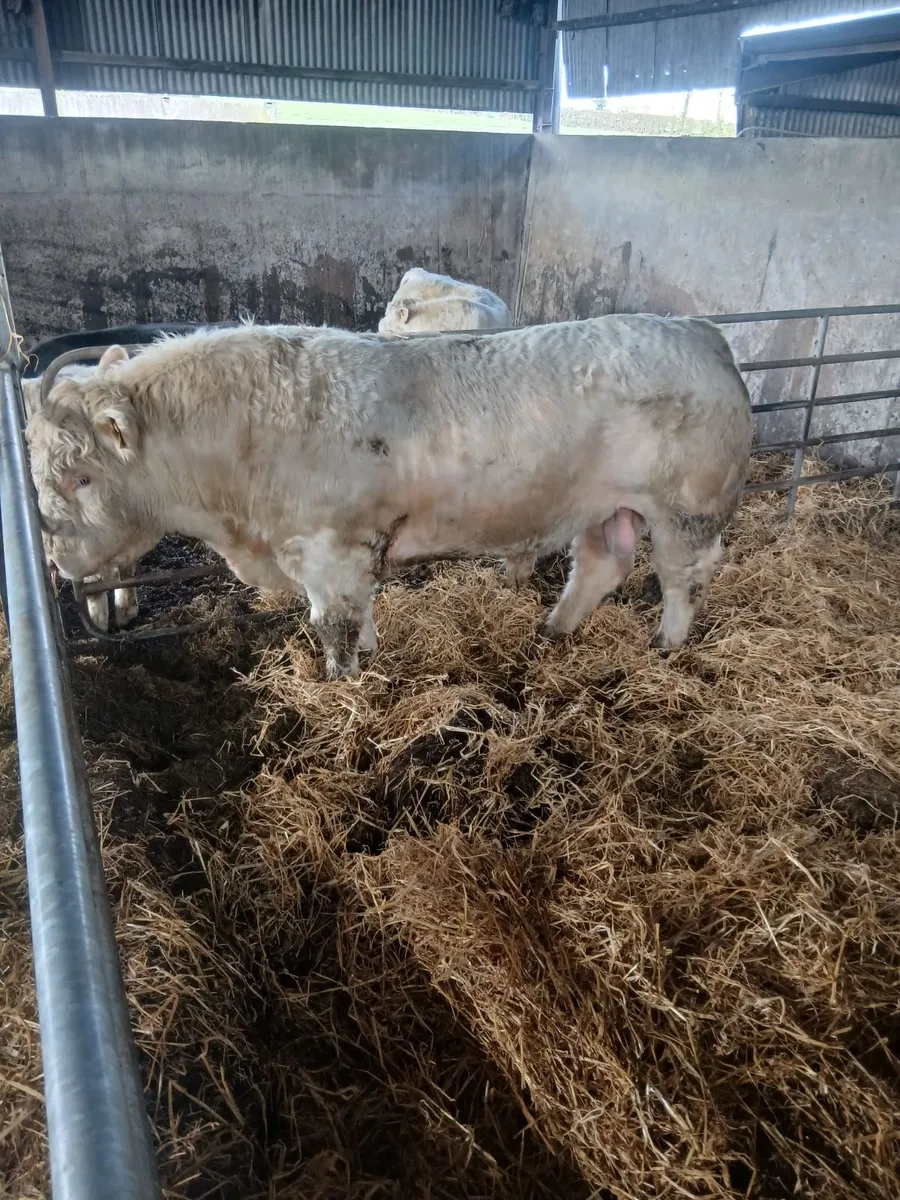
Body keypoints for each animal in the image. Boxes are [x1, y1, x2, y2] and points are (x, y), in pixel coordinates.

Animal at [26, 316, 752, 680]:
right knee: (602, 563)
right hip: (603, 505)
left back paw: (667, 644)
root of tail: (702, 332)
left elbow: (336, 627)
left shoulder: (331, 550)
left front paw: (345, 688)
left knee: (684, 576)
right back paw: (555, 630)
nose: (56, 558)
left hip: (688, 506)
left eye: (81, 478)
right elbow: (362, 617)